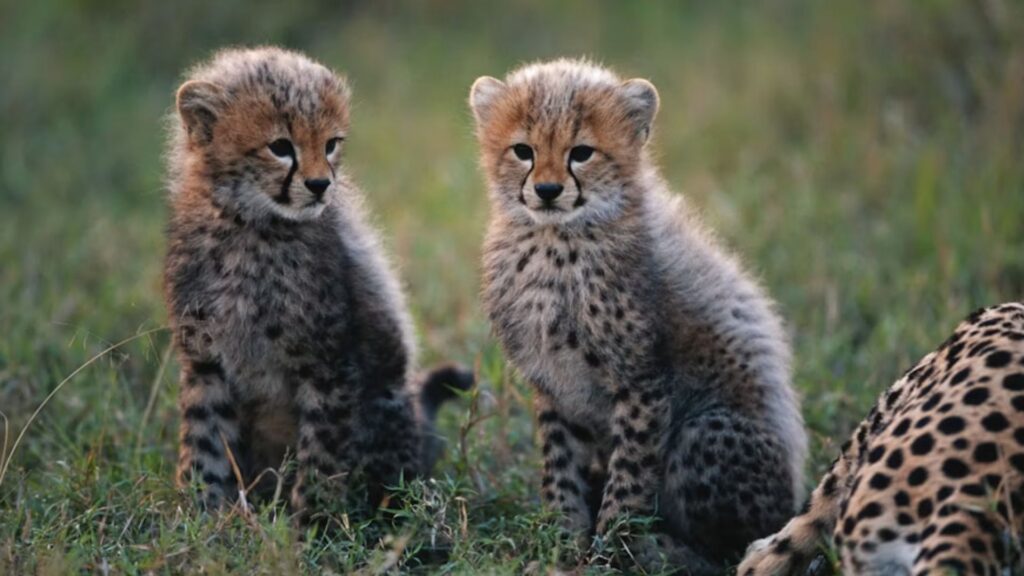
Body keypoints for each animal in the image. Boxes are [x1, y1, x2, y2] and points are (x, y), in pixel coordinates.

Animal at [164, 46, 472, 518]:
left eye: (330, 145)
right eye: (280, 147)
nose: (320, 184)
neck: (250, 227)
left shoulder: (329, 364)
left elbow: (321, 454)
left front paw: (312, 524)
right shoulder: (205, 361)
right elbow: (204, 443)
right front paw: (198, 517)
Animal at [468, 58, 808, 574]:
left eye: (582, 153)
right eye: (523, 151)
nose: (547, 190)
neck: (555, 243)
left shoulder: (643, 381)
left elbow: (629, 478)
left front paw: (609, 551)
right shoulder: (555, 383)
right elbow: (560, 465)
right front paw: (562, 541)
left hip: (704, 432)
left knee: (733, 545)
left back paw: (665, 548)